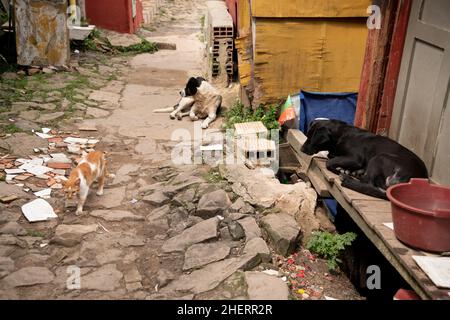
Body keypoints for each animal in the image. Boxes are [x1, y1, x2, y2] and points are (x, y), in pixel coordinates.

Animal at [300, 120, 428, 200]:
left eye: (311, 138)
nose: (301, 149)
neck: (342, 134)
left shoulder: (356, 158)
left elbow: (329, 161)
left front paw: (340, 170)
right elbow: (331, 157)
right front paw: (345, 169)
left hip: (379, 158)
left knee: (369, 183)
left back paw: (347, 179)